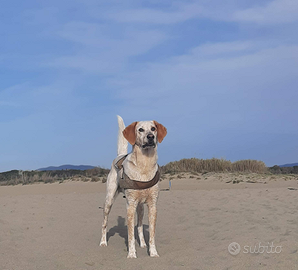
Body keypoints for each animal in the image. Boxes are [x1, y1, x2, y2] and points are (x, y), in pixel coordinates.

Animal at [99, 115, 166, 258]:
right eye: (140, 129)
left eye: (153, 128)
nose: (151, 136)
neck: (145, 165)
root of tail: (119, 156)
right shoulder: (130, 205)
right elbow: (130, 235)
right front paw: (131, 255)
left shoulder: (153, 205)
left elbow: (151, 234)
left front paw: (153, 253)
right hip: (109, 200)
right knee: (104, 223)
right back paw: (103, 242)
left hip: (140, 207)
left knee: (139, 226)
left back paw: (143, 244)